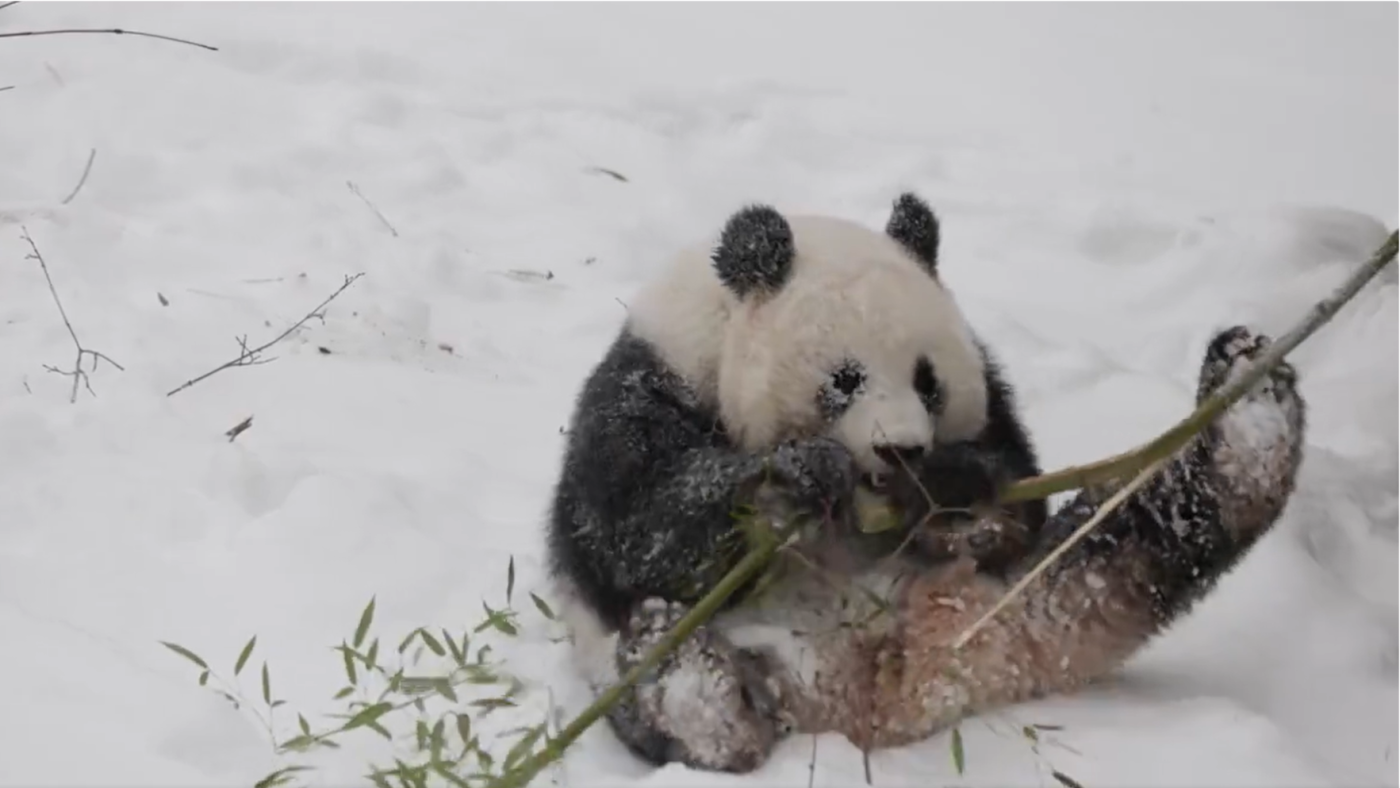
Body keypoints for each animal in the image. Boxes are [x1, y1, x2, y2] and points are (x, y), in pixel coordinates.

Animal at [540, 193, 1304, 778]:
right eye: (845, 379)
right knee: (682, 708)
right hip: (712, 663)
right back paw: (688, 679)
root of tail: (903, 685)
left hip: (1030, 592)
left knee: (1140, 533)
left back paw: (1248, 402)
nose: (901, 450)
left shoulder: (991, 395)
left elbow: (1016, 490)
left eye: (928, 381)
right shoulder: (648, 384)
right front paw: (792, 479)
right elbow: (637, 532)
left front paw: (944, 488)